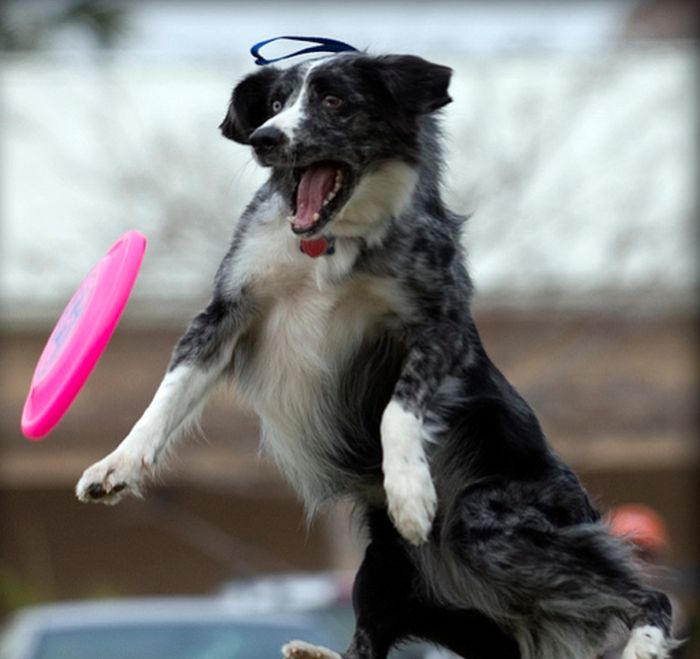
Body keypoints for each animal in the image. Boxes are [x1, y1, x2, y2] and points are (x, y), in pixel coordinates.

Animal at [74, 51, 676, 659]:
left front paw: (410, 492)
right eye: (275, 103)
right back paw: (311, 653)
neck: (328, 244)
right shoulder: (228, 311)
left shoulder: (439, 326)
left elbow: (397, 410)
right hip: (384, 567)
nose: (266, 139)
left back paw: (642, 643)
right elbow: (169, 392)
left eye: (334, 100)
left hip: (490, 526)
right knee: (367, 645)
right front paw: (115, 465)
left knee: (645, 592)